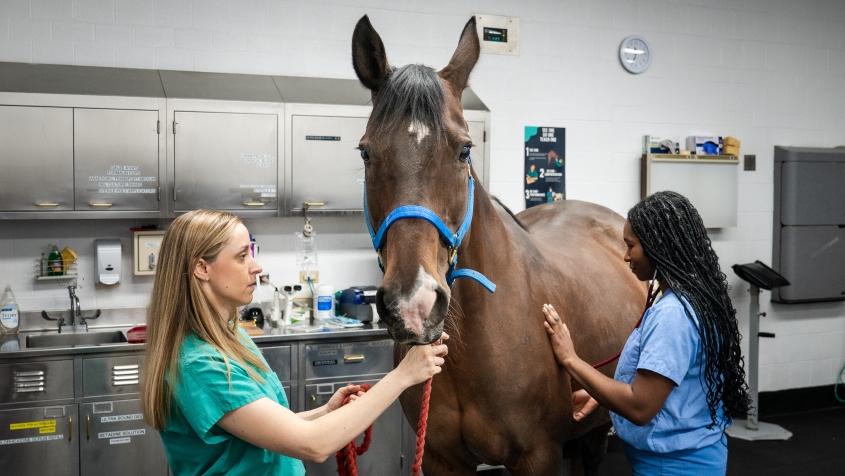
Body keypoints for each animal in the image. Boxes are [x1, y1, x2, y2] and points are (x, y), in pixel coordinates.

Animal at [352, 15, 646, 475]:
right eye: (366, 153)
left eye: (464, 150)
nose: (414, 303)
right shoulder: (440, 459)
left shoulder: (538, 457)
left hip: (596, 428)